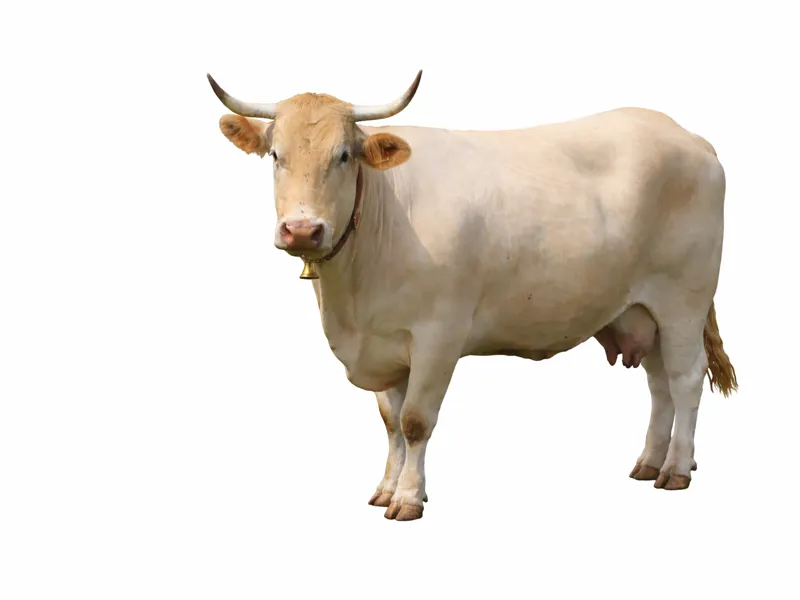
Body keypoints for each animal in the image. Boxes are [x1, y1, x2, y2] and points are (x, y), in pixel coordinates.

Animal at [207, 70, 738, 521]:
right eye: (276, 155)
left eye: (343, 155)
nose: (302, 229)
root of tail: (688, 137)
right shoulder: (383, 343)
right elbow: (391, 421)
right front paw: (386, 487)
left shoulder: (438, 336)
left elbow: (416, 421)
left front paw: (408, 498)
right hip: (643, 310)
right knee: (659, 383)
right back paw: (649, 461)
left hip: (684, 299)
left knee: (686, 379)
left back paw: (676, 469)